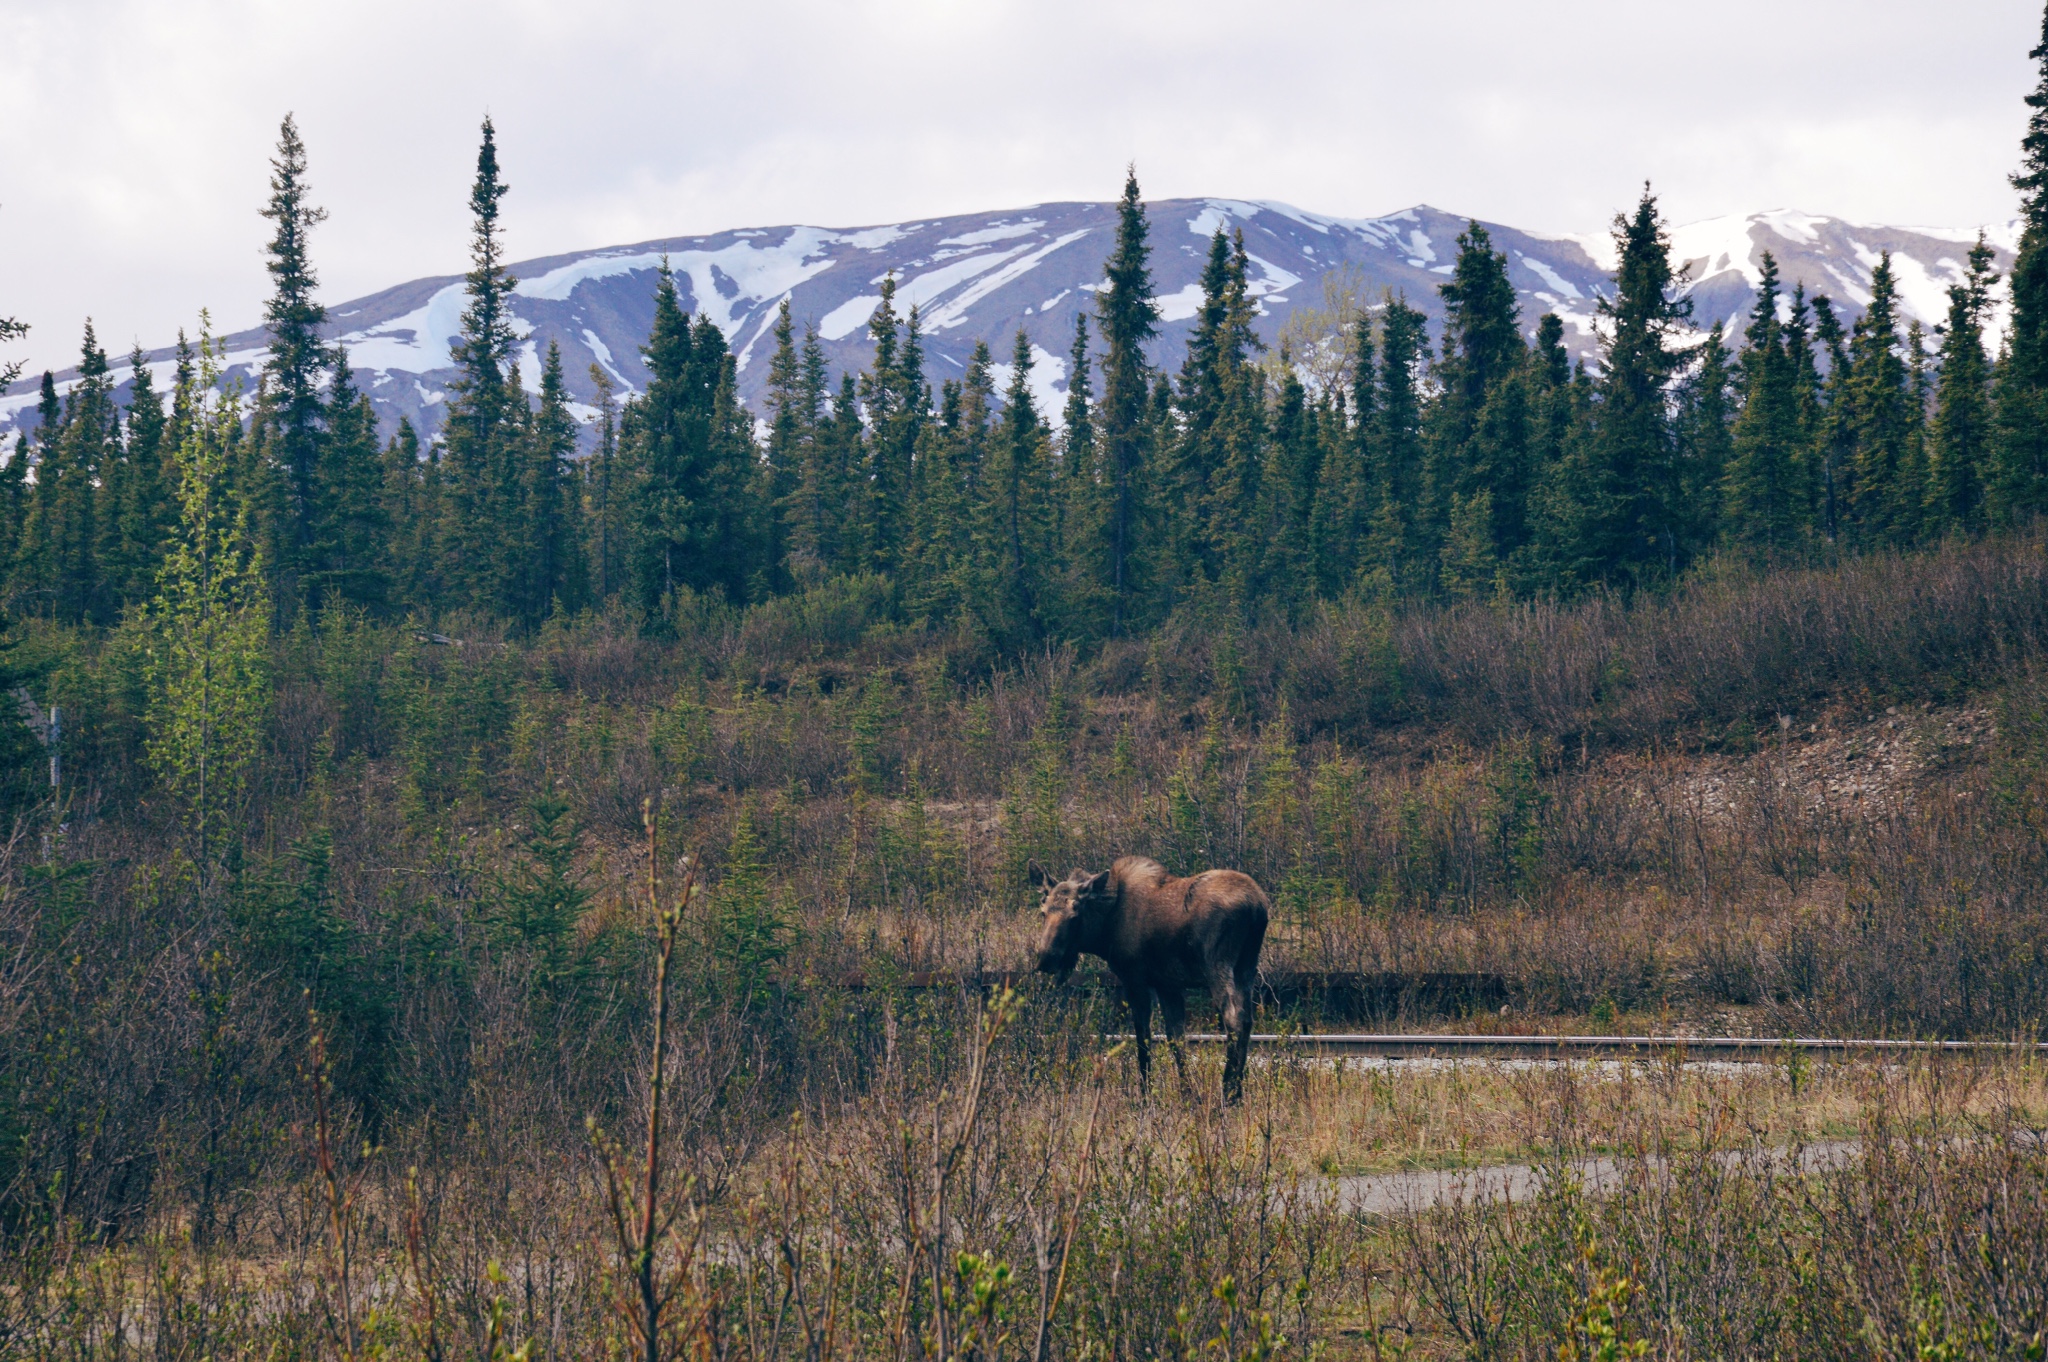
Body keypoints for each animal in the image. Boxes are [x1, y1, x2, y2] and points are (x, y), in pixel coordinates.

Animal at [1032, 852, 1269, 1105]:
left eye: (1075, 915)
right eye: (1043, 911)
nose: (1046, 958)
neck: (1105, 930)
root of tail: (1257, 906)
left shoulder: (1134, 979)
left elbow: (1143, 1038)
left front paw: (1145, 1097)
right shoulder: (1168, 984)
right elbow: (1175, 1039)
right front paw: (1189, 1094)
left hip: (1218, 964)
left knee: (1234, 1018)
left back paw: (1227, 1093)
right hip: (1246, 968)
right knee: (1247, 1020)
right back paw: (1238, 1092)